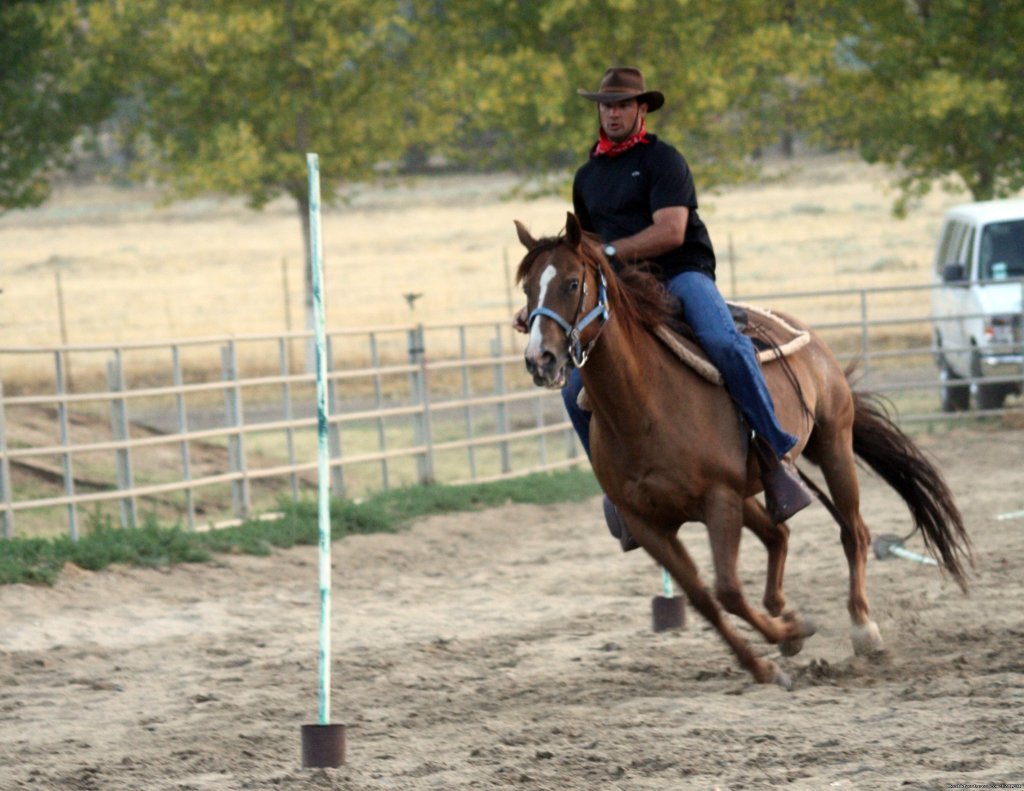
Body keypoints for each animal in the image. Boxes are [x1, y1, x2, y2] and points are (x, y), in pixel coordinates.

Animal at [516, 213, 970, 688]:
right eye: (527, 288)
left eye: (571, 283)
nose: (540, 359)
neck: (644, 406)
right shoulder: (649, 523)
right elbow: (703, 599)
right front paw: (770, 654)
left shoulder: (719, 499)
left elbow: (729, 591)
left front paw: (784, 642)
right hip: (752, 487)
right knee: (779, 533)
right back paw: (787, 617)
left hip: (832, 443)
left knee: (853, 533)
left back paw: (864, 629)